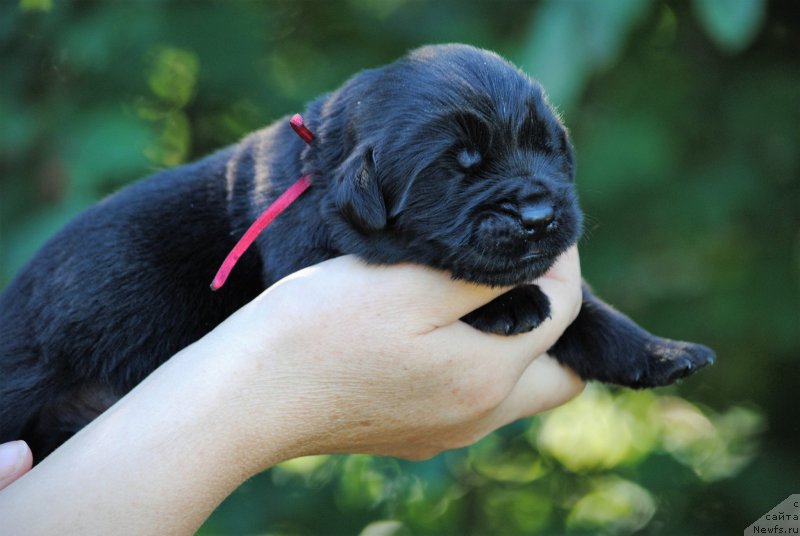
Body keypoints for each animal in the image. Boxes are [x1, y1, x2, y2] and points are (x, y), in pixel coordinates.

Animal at [0, 45, 712, 460]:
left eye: (549, 148)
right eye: (461, 167)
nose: (540, 214)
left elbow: (593, 314)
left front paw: (662, 352)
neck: (321, 170)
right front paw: (510, 305)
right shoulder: (308, 255)